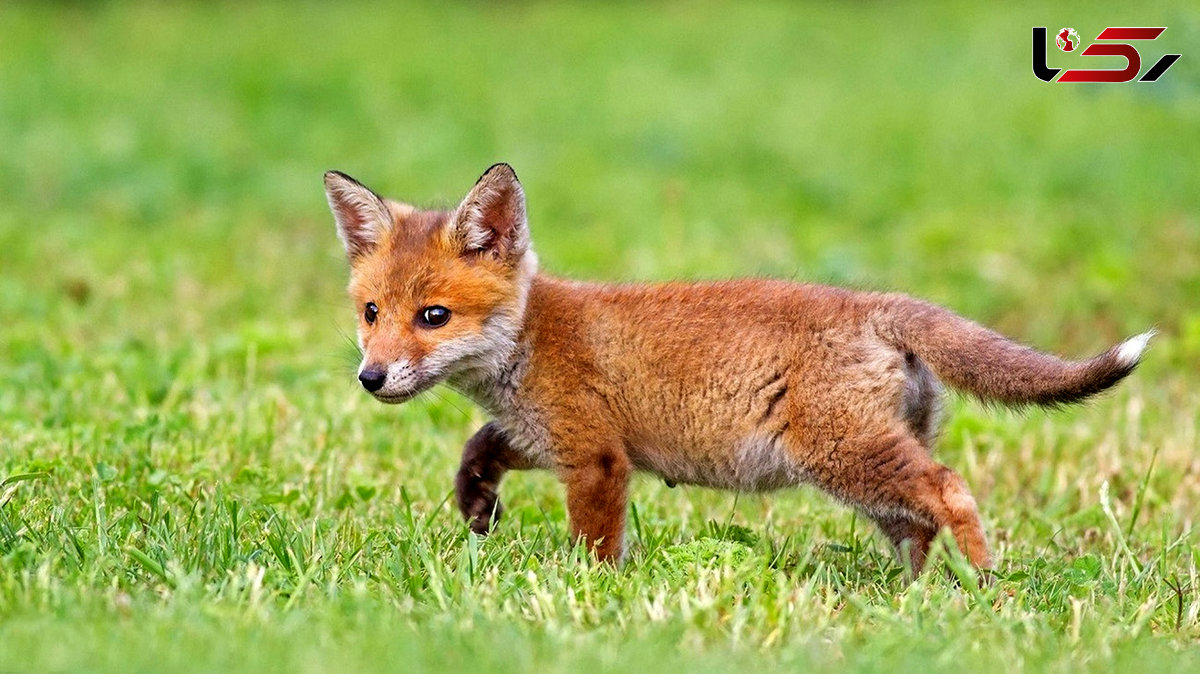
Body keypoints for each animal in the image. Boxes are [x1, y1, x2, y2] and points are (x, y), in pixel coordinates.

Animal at [324, 161, 1147, 566]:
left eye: (434, 317)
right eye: (371, 314)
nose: (371, 378)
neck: (529, 338)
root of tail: (877, 302)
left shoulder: (595, 457)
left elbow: (596, 548)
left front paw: (591, 598)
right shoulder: (546, 437)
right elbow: (479, 448)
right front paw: (477, 506)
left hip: (845, 456)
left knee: (949, 492)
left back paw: (982, 586)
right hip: (866, 471)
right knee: (917, 525)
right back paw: (909, 602)